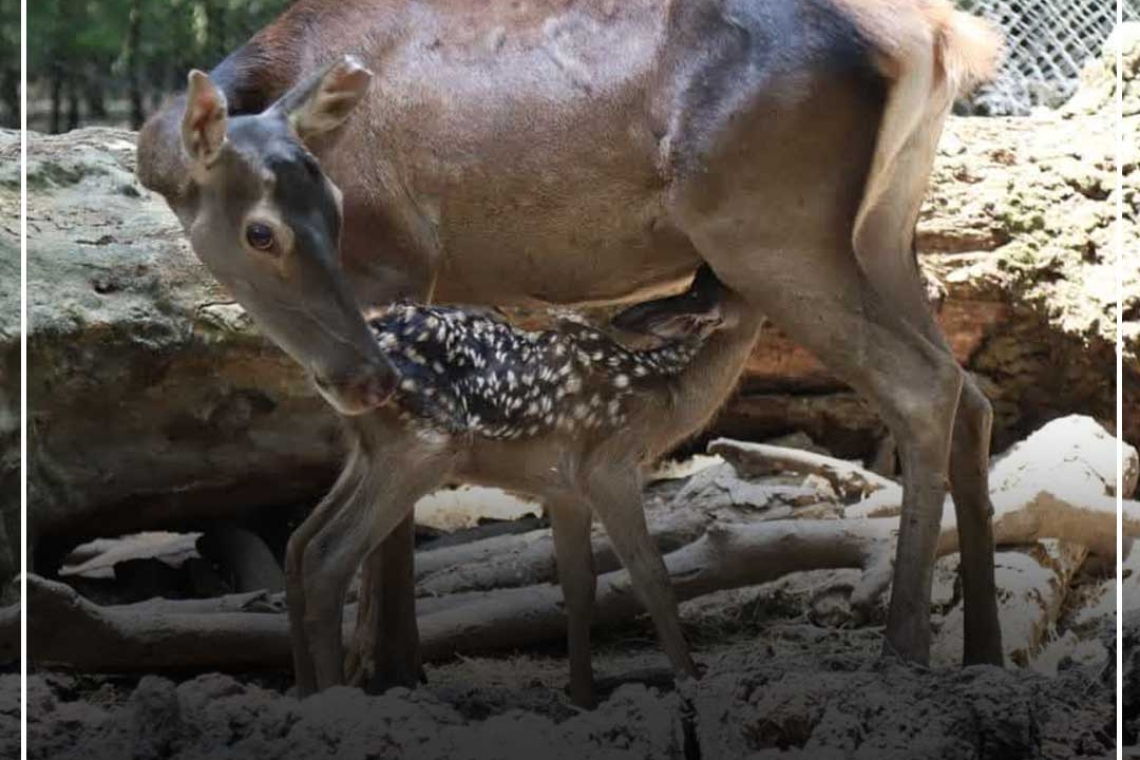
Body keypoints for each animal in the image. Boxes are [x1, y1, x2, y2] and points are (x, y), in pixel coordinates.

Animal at [137, 0, 1003, 697]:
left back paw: (904, 650)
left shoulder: (397, 261)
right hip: (884, 226)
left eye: (331, 211)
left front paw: (386, 670)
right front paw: (378, 667)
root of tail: (938, 35)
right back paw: (983, 652)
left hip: (770, 228)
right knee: (972, 394)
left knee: (924, 387)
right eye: (266, 228)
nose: (359, 379)